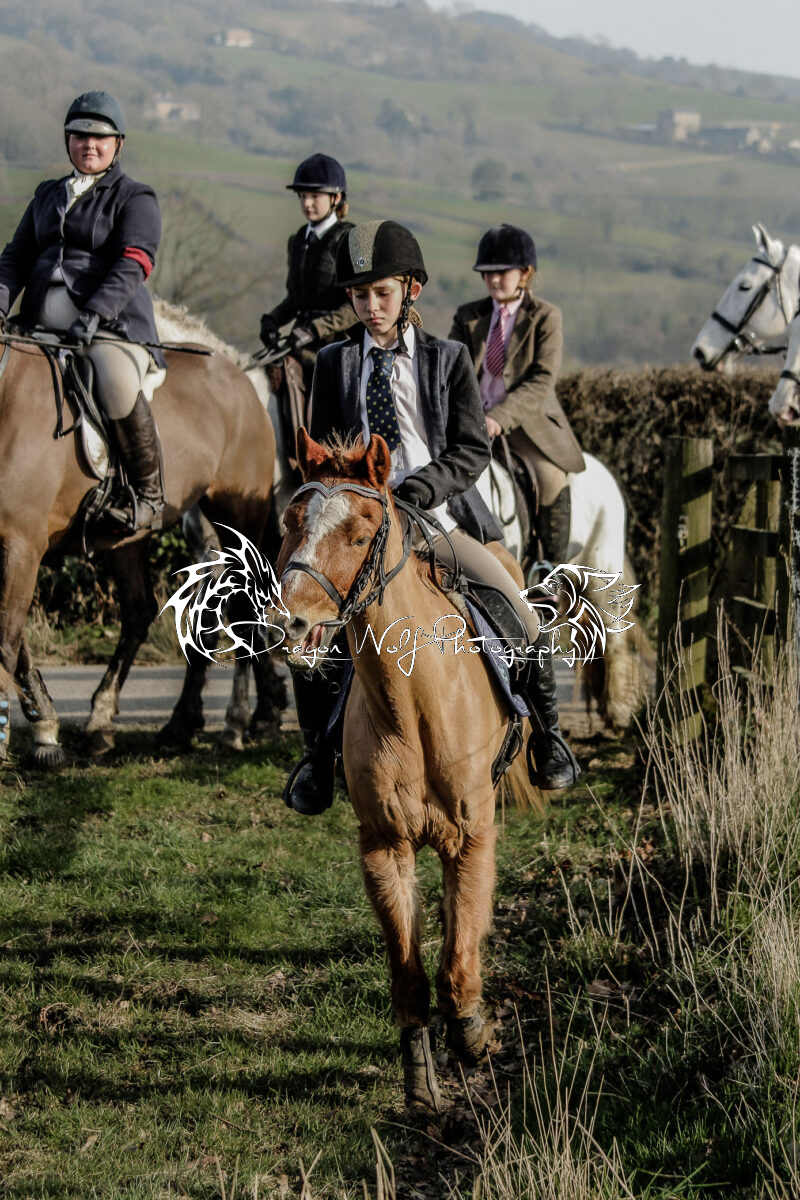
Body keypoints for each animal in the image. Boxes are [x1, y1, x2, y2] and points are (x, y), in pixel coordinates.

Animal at [0, 309, 284, 766]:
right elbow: (17, 639)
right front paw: (44, 726)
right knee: (140, 611)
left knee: (241, 606)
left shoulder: (23, 543)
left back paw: (234, 725)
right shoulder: (15, 545)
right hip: (134, 539)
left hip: (238, 514)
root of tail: (239, 374)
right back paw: (107, 723)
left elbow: (7, 639)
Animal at [273, 429, 536, 1111]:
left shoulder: (470, 838)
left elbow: (458, 953)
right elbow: (408, 966)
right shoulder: (385, 846)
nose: (289, 622)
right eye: (289, 523)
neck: (414, 705)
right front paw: (421, 1077)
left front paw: (472, 1035)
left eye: (360, 533)